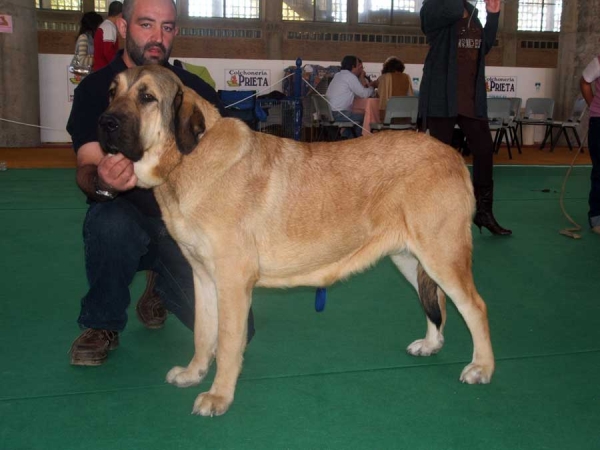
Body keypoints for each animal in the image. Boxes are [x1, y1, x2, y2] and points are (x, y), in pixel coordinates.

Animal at [97, 65, 492, 416]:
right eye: (112, 92)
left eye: (147, 97)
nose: (105, 123)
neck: (186, 160)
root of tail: (453, 155)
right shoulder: (203, 277)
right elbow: (204, 334)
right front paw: (194, 374)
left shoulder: (232, 281)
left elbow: (227, 343)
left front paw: (219, 397)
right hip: (411, 258)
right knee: (437, 301)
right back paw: (431, 344)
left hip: (442, 254)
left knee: (475, 306)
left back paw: (482, 368)